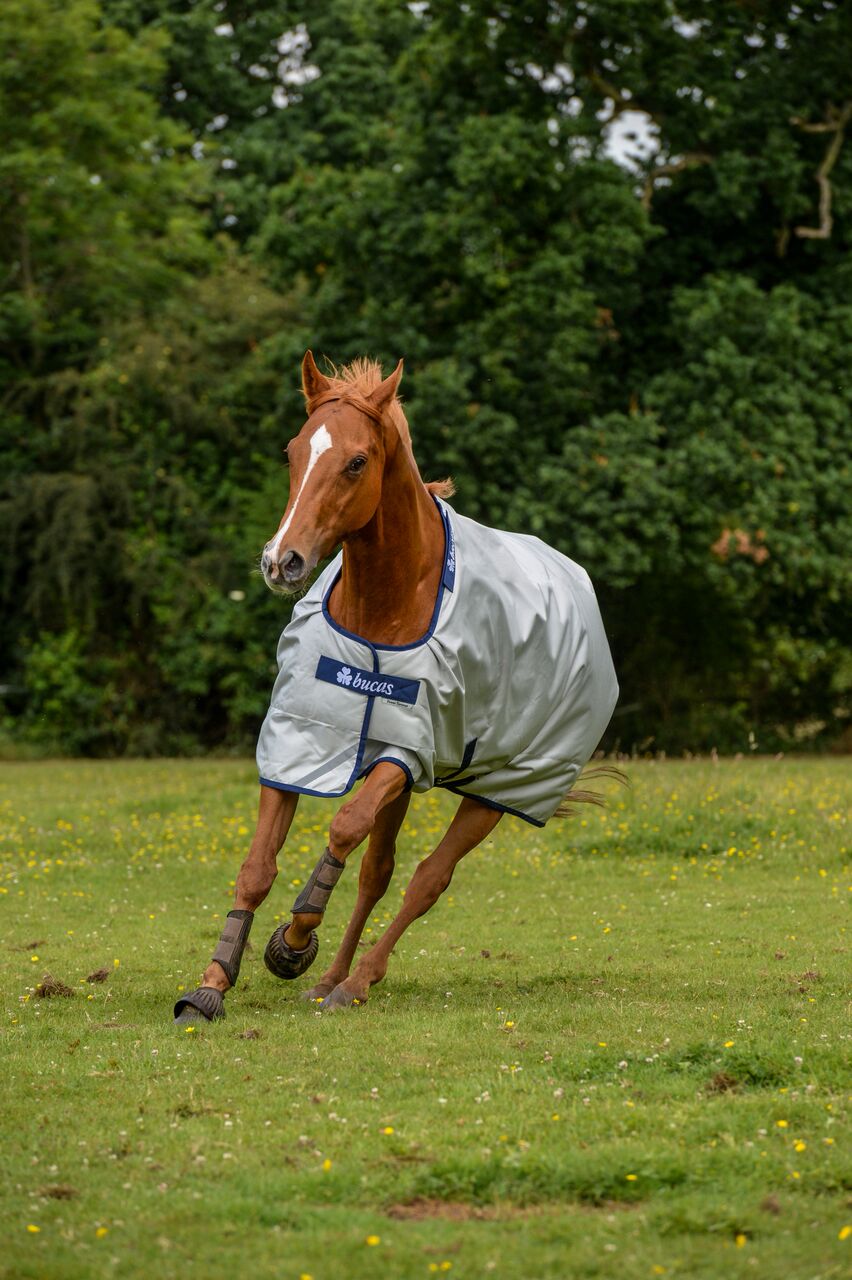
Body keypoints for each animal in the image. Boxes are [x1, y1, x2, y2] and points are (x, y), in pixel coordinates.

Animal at [173, 352, 619, 1023]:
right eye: (293, 451)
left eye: (357, 461)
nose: (283, 562)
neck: (380, 613)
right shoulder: (297, 739)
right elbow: (258, 866)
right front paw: (213, 983)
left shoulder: (406, 752)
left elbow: (344, 826)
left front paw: (294, 939)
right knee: (377, 874)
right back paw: (330, 979)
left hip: (499, 790)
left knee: (426, 879)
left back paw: (357, 981)